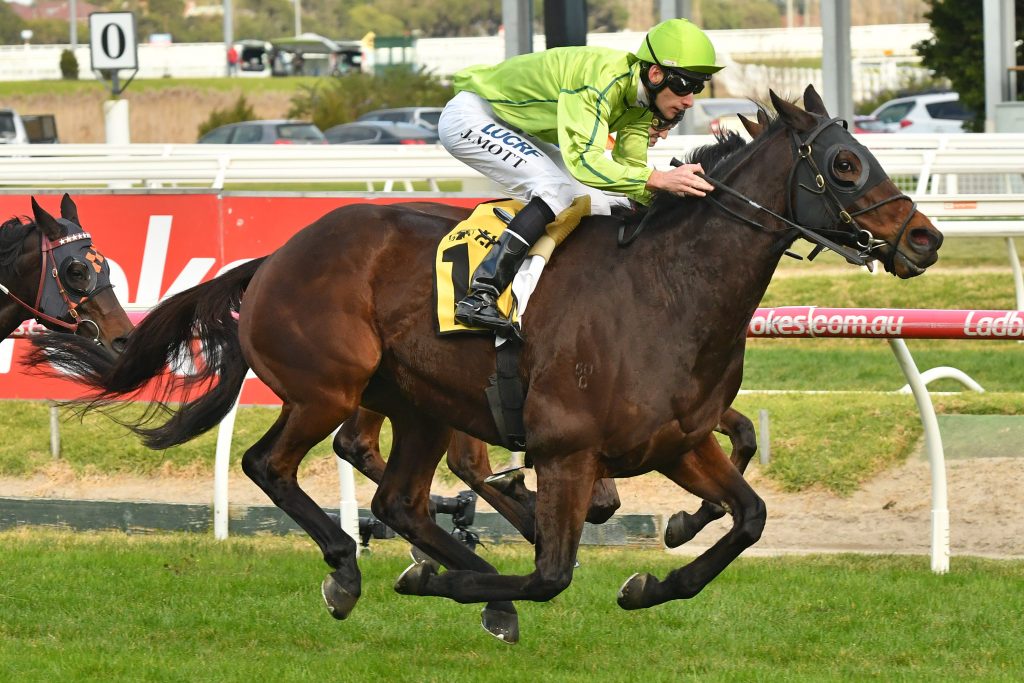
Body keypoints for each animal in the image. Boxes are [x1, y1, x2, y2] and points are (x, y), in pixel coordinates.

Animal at [30, 87, 943, 644]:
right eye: (845, 163)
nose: (926, 238)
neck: (668, 289)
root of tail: (276, 255)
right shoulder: (569, 450)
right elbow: (552, 573)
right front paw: (456, 581)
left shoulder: (681, 441)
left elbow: (748, 515)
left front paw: (651, 578)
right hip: (328, 386)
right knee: (271, 465)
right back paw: (352, 571)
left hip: (420, 405)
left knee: (398, 499)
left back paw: (453, 570)